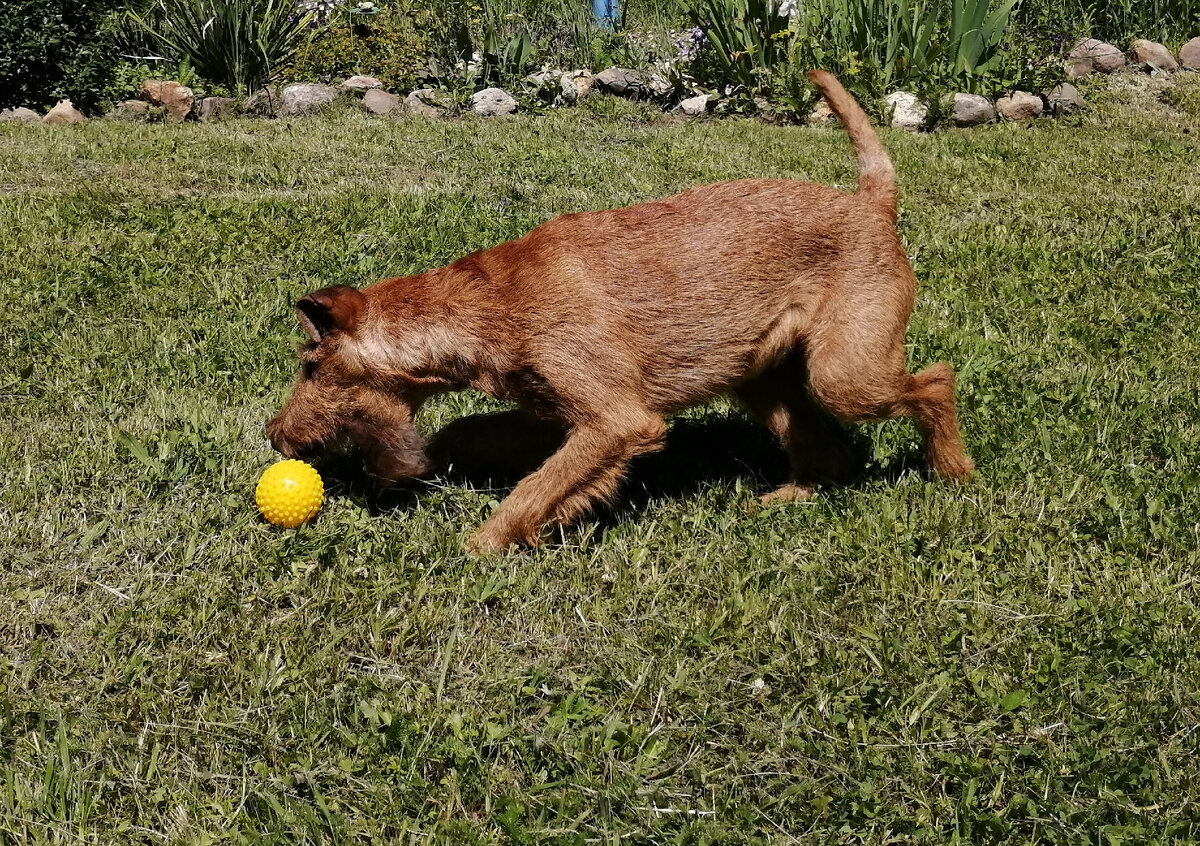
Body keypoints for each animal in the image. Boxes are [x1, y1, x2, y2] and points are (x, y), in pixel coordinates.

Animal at [265, 69, 974, 552]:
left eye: (310, 367)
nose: (275, 435)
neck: (487, 303)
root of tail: (873, 202)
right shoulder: (555, 415)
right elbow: (479, 441)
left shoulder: (616, 421)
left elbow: (532, 490)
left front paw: (480, 546)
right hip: (764, 380)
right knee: (825, 451)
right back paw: (787, 497)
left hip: (845, 371)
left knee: (936, 382)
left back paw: (954, 473)